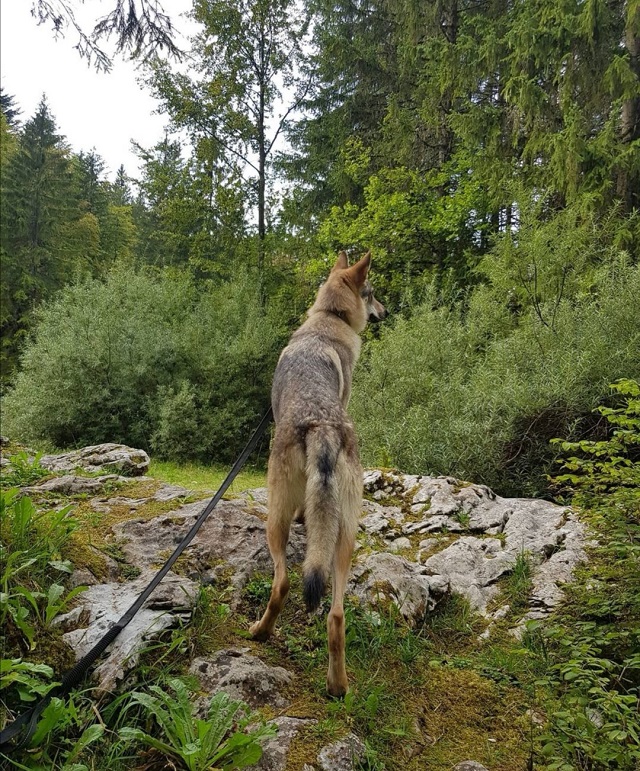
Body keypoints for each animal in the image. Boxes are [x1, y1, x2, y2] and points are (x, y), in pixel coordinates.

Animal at [249, 250, 384, 696]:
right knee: (336, 616)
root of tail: (322, 425)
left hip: (273, 521)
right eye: (373, 294)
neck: (328, 319)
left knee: (282, 584)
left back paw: (259, 632)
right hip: (344, 541)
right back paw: (337, 686)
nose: (386, 310)